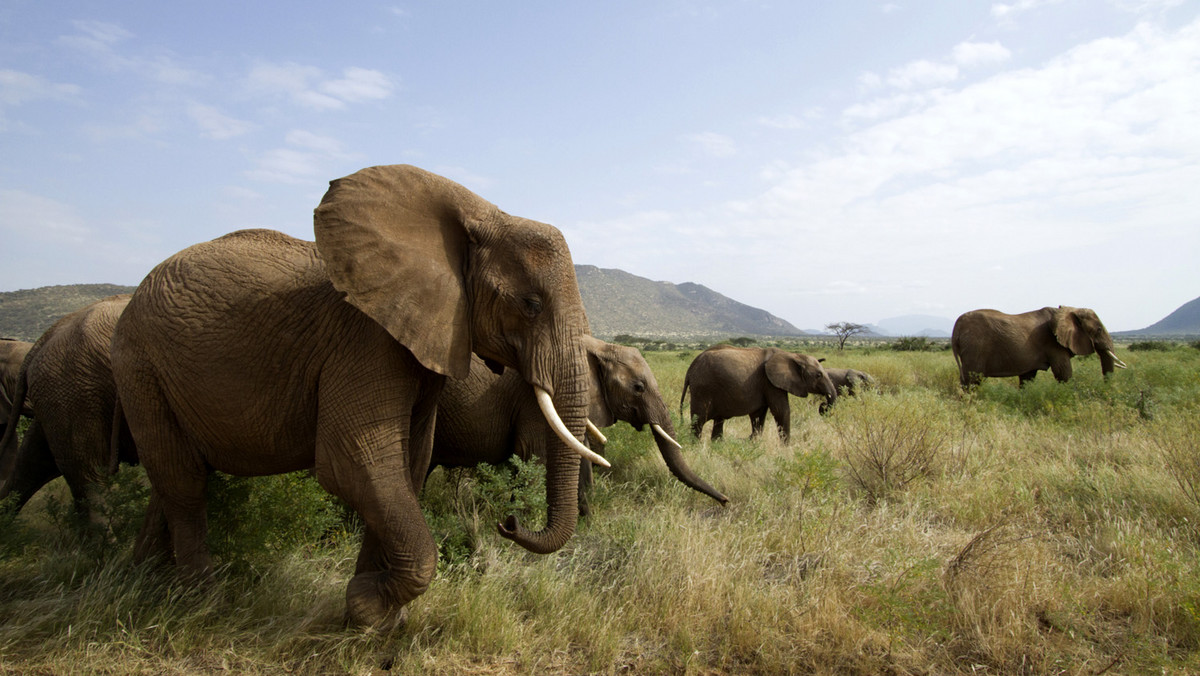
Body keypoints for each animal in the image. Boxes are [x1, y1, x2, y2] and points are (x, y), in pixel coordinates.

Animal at [109, 164, 604, 629]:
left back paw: (144, 584)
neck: (481, 215)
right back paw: (203, 604)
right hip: (139, 365)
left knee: (171, 480)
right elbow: (357, 462)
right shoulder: (365, 342)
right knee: (184, 483)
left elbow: (408, 465)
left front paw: (377, 619)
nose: (509, 522)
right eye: (531, 305)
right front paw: (367, 607)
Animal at [434, 336, 724, 516]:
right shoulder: (534, 401)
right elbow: (534, 456)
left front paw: (587, 521)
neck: (596, 346)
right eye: (638, 388)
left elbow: (582, 450)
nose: (726, 501)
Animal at [681, 343, 840, 444]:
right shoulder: (770, 382)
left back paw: (717, 445)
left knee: (718, 420)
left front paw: (754, 442)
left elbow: (758, 415)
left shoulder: (765, 384)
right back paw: (696, 446)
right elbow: (781, 411)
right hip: (702, 388)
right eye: (818, 375)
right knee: (699, 420)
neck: (793, 355)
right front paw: (786, 448)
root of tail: (690, 368)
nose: (823, 406)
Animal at [950, 303, 1128, 389]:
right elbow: (1064, 373)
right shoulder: (1053, 344)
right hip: (975, 347)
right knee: (973, 380)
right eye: (1098, 330)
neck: (1069, 309)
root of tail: (956, 326)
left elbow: (1028, 378)